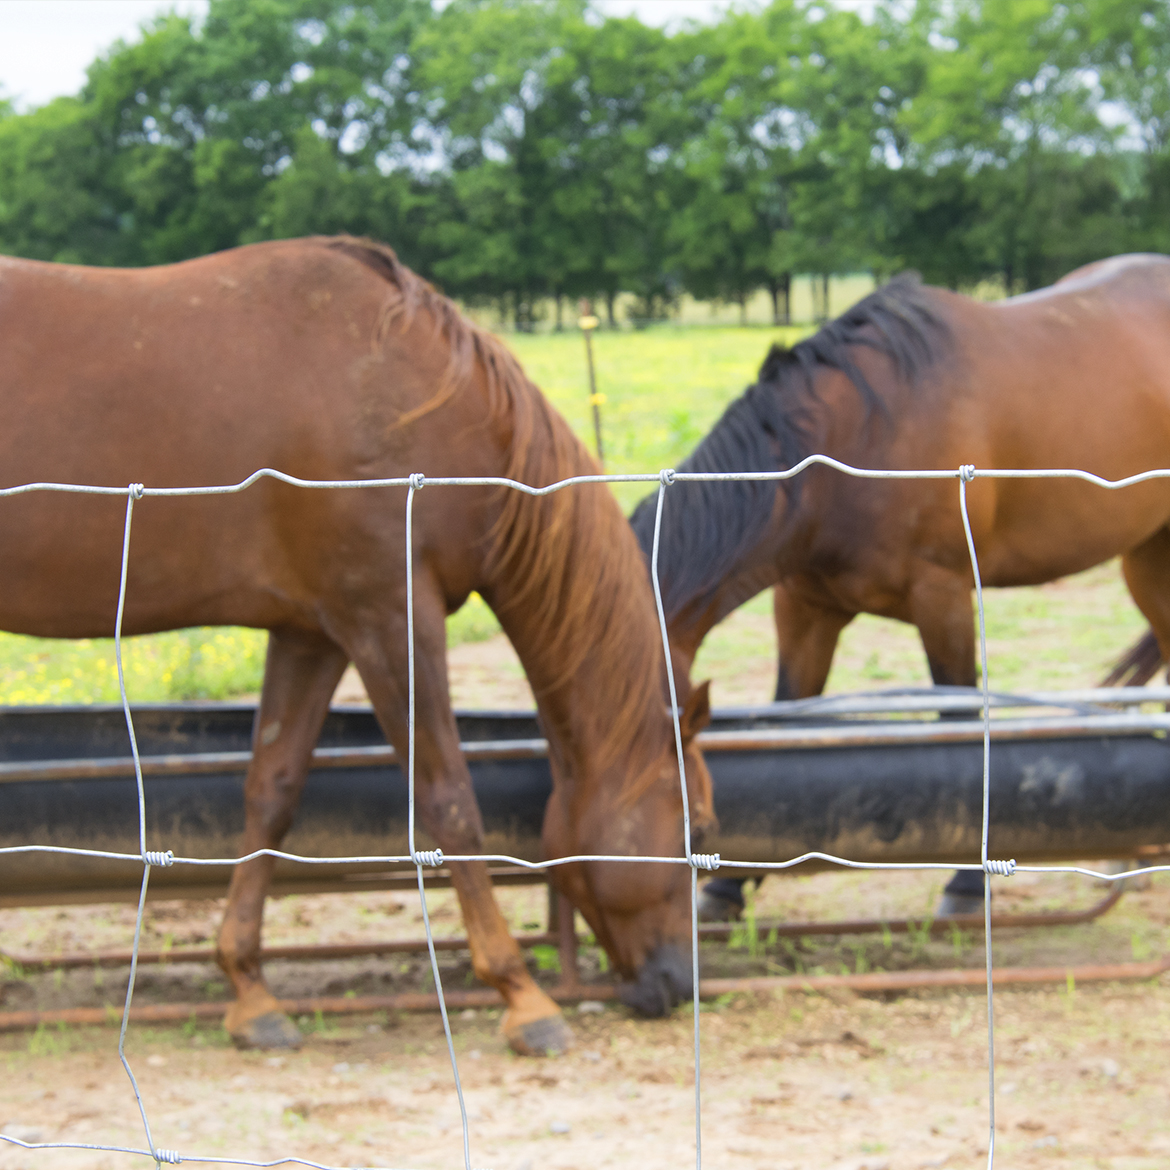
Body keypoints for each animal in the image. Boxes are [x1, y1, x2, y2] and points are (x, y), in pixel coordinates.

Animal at [0, 235, 711, 1053]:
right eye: (699, 828)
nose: (678, 984)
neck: (423, 400)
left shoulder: (311, 633)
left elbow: (272, 793)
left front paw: (250, 990)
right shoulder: (390, 618)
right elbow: (448, 800)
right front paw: (522, 994)